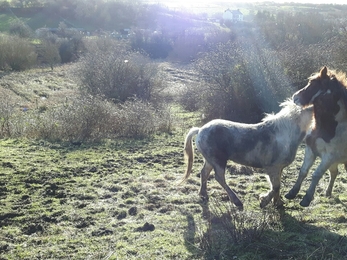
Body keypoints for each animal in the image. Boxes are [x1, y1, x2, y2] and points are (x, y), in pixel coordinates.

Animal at [182, 100, 312, 211]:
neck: (284, 134)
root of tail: (200, 130)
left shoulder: (279, 168)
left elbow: (276, 187)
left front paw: (278, 203)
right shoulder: (272, 168)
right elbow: (275, 187)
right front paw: (264, 202)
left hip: (210, 160)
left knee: (204, 173)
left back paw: (204, 195)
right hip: (218, 161)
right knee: (219, 178)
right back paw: (237, 202)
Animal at [286, 67, 347, 207]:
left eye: (313, 84)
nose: (295, 97)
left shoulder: (328, 157)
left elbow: (316, 175)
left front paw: (307, 198)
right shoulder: (310, 150)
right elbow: (303, 171)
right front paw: (292, 192)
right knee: (334, 173)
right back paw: (328, 193)